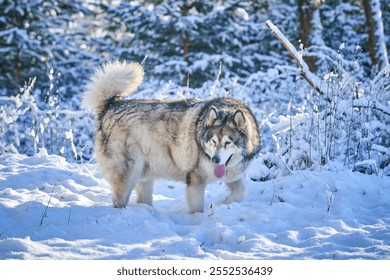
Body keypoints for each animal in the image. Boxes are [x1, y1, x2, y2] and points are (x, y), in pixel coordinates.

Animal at [84, 60, 260, 212]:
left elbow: (241, 192)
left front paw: (225, 202)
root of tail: (111, 104)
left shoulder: (234, 176)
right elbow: (197, 208)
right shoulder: (195, 180)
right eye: (213, 141)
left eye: (228, 142)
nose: (215, 160)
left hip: (145, 173)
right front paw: (199, 218)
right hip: (128, 172)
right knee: (119, 200)